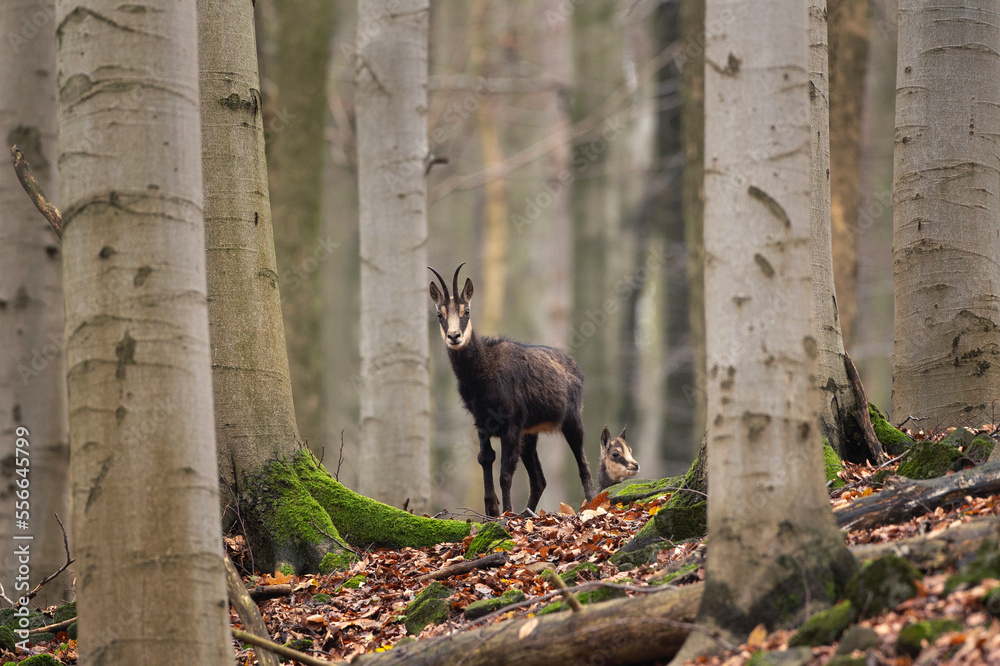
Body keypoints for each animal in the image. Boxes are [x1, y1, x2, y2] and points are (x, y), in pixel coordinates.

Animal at [429, 263, 595, 516]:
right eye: (440, 314)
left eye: (467, 311)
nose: (454, 336)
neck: (482, 373)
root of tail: (575, 367)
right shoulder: (482, 422)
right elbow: (485, 458)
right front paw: (491, 510)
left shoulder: (512, 426)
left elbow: (505, 473)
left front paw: (505, 512)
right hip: (530, 435)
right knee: (539, 480)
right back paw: (528, 513)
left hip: (572, 420)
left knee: (582, 463)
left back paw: (592, 505)